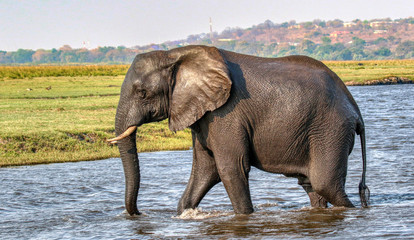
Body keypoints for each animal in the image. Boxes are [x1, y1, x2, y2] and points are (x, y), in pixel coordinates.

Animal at [106, 45, 368, 216]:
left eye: (142, 93)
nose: (139, 214)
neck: (175, 54)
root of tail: (355, 108)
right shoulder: (205, 115)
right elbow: (205, 170)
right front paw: (182, 214)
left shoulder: (226, 114)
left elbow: (230, 168)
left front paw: (244, 217)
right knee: (311, 185)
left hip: (331, 129)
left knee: (326, 184)